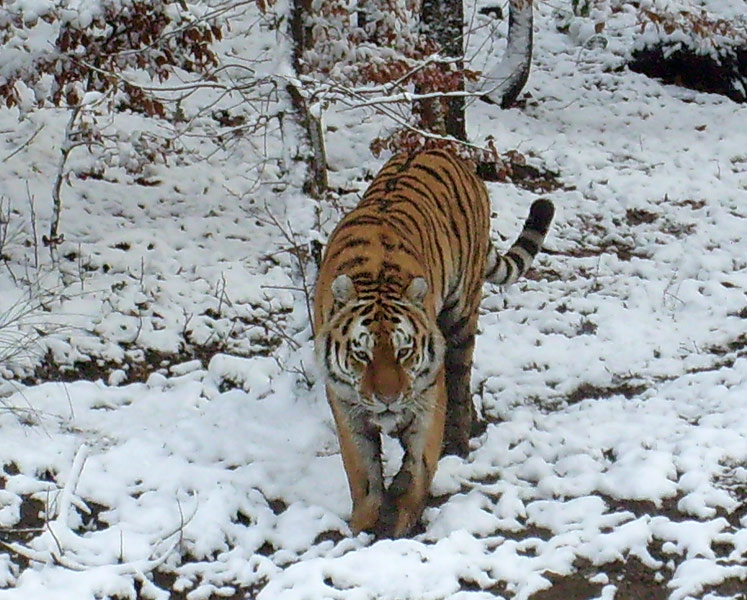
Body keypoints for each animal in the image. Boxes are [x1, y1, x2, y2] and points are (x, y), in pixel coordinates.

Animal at [312, 148, 552, 536]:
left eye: (404, 351)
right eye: (361, 353)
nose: (388, 399)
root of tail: (439, 148)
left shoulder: (426, 395)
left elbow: (419, 463)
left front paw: (402, 520)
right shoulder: (345, 402)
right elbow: (361, 470)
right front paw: (363, 523)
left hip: (461, 315)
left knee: (459, 382)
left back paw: (457, 440)